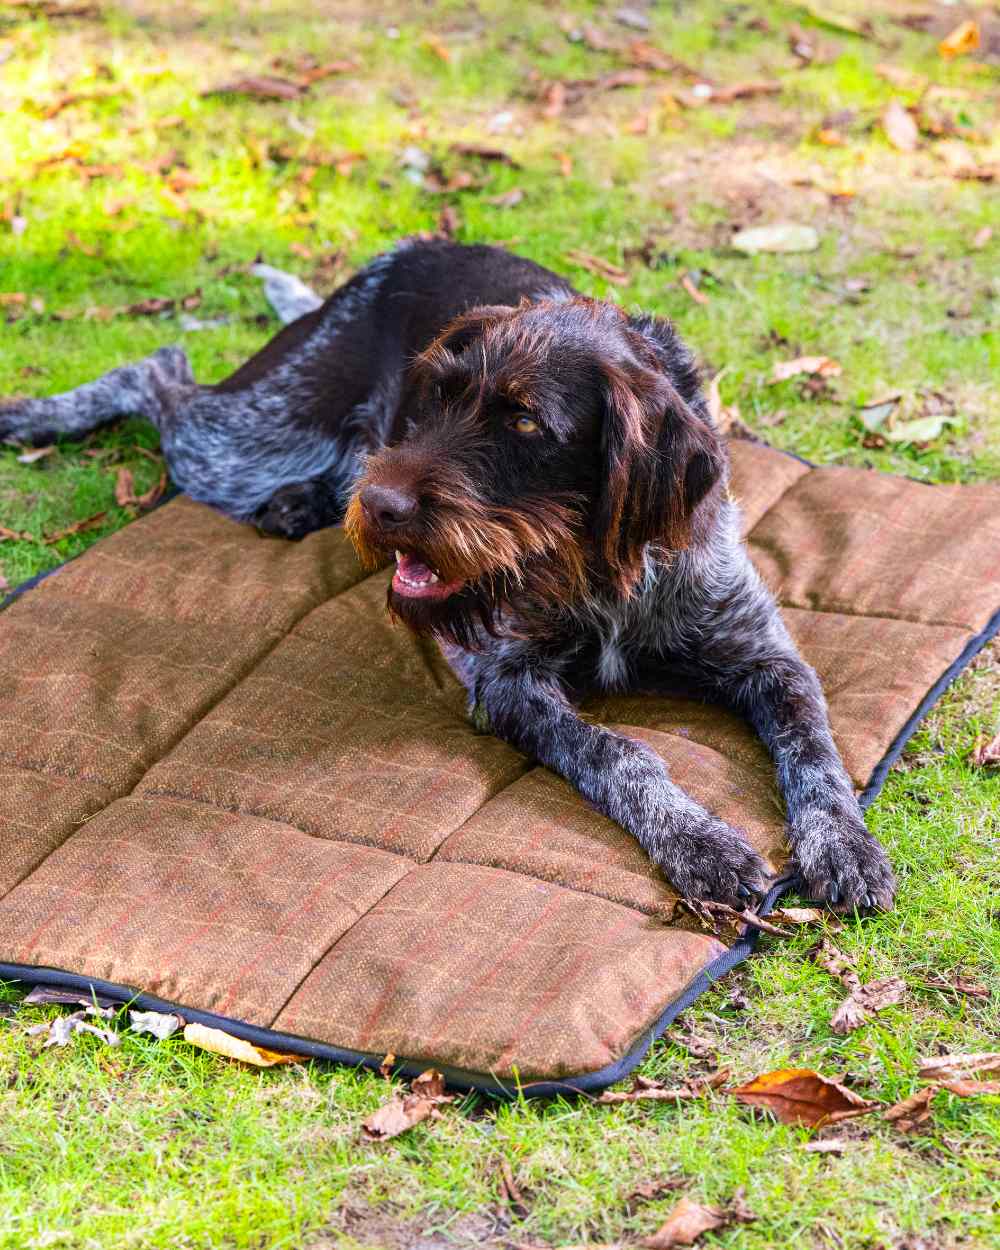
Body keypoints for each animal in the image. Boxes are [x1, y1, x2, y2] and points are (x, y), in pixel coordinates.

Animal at [1, 238, 900, 915]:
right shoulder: (508, 682)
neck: (593, 571)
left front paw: (844, 843)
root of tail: (404, 248)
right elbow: (619, 753)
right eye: (434, 397)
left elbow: (814, 744)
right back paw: (39, 414)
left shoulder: (762, 653)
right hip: (243, 440)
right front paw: (699, 841)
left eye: (525, 421)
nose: (383, 507)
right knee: (160, 369)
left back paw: (304, 503)